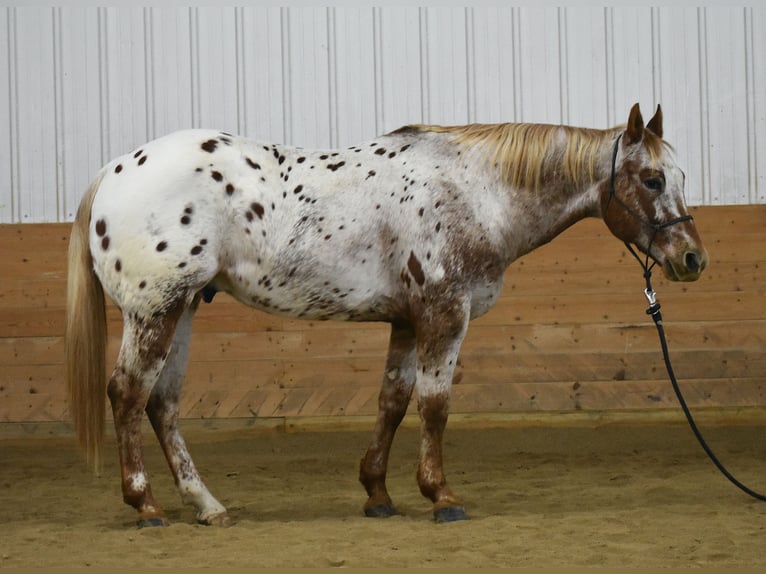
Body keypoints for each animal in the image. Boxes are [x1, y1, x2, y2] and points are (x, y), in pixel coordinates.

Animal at [66, 104, 708, 532]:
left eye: (679, 177)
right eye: (651, 178)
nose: (692, 260)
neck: (476, 191)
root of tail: (115, 170)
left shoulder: (406, 320)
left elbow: (393, 402)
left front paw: (378, 492)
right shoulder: (444, 314)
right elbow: (435, 405)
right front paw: (441, 495)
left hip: (182, 310)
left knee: (161, 405)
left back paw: (206, 505)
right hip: (155, 310)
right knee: (127, 394)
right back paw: (146, 505)